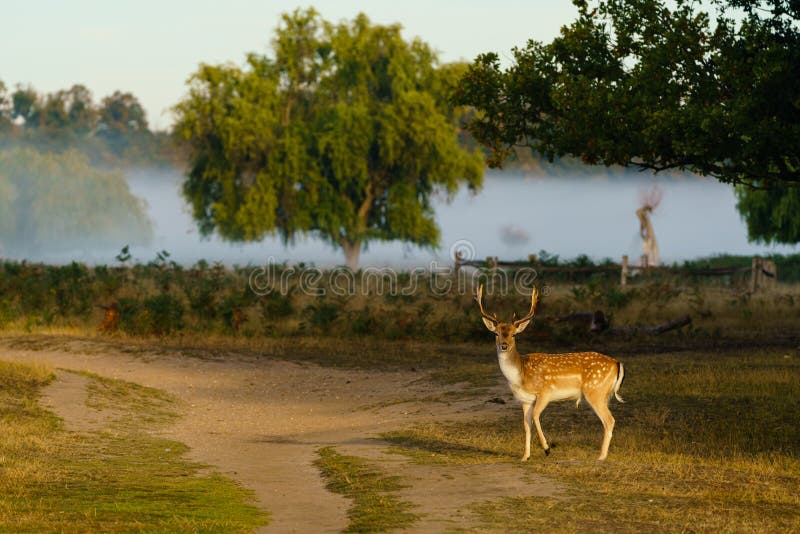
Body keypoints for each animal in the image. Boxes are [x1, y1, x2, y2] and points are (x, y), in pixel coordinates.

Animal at [476, 285, 625, 461]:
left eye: (514, 334)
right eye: (496, 333)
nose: (504, 345)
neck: (521, 375)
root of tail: (617, 363)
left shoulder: (545, 392)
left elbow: (535, 416)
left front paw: (547, 449)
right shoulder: (525, 400)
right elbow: (526, 425)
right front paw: (525, 456)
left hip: (595, 391)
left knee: (609, 420)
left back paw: (601, 456)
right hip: (604, 394)